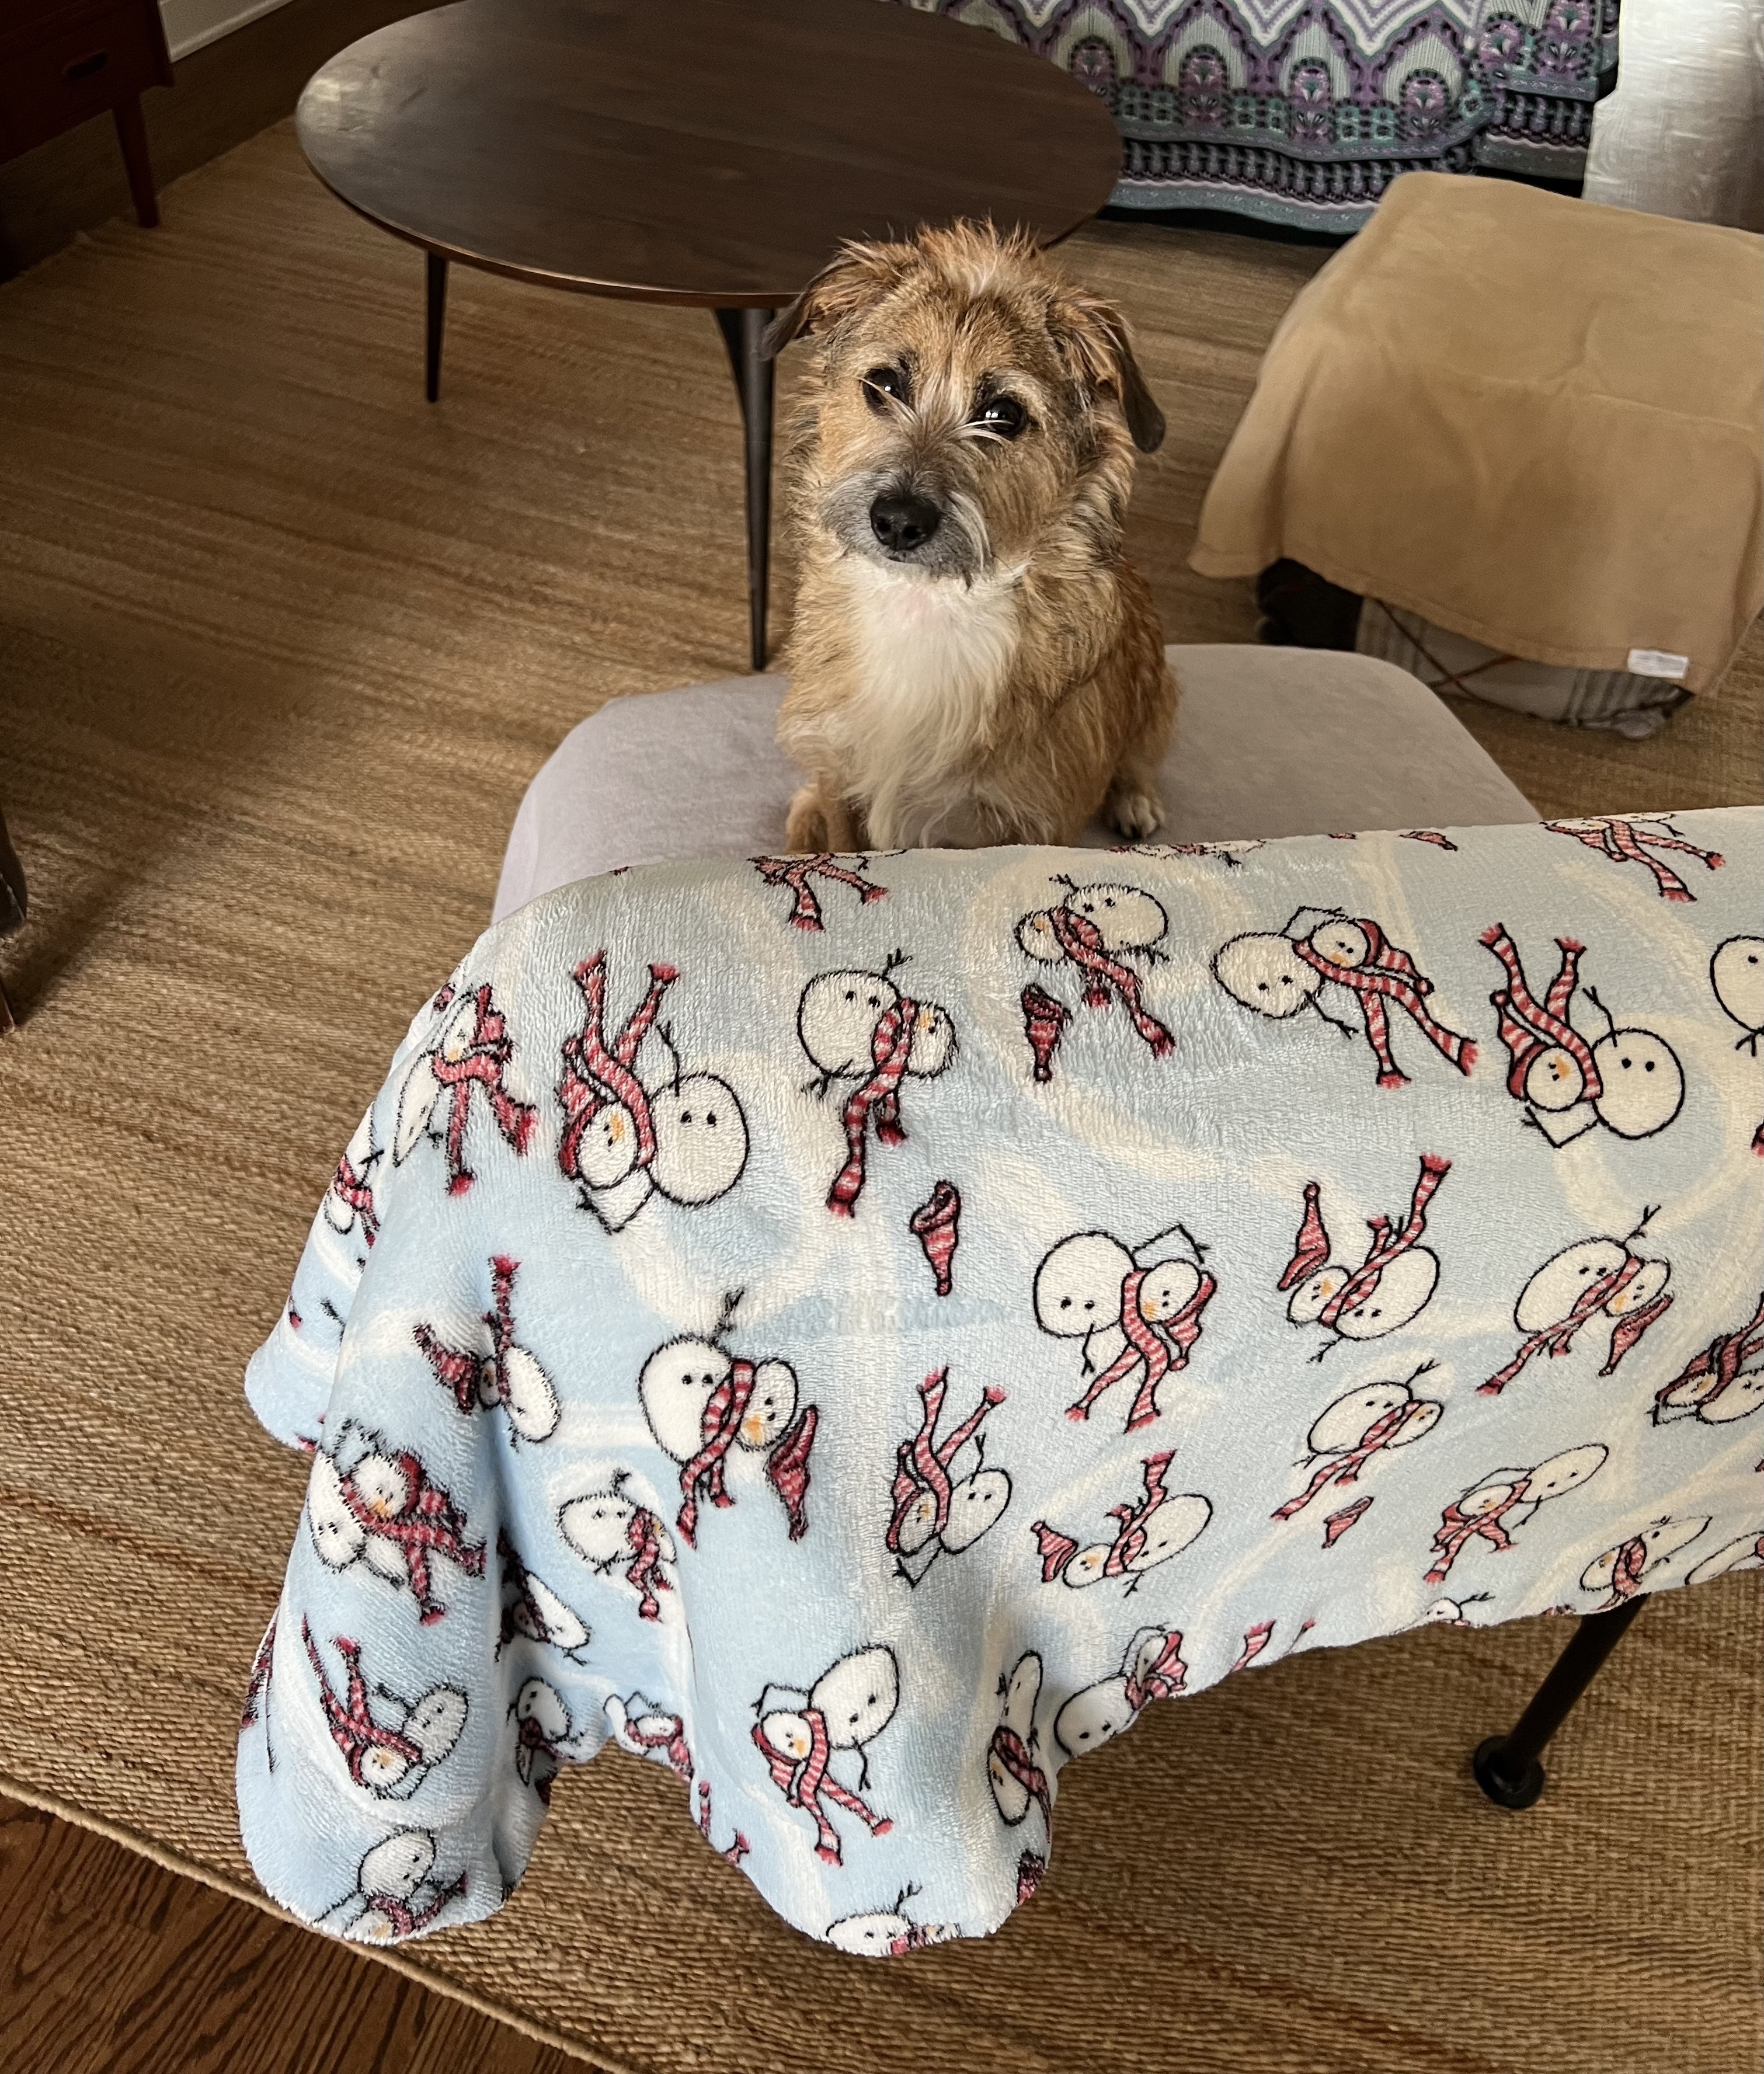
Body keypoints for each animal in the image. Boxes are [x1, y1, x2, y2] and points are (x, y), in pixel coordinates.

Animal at [761, 221, 1175, 854]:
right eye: (884, 384)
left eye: (1003, 414)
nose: (898, 520)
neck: (927, 601)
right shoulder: (837, 770)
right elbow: (840, 829)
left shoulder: (1036, 822)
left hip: (1157, 685)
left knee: (1140, 751)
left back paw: (1135, 798)